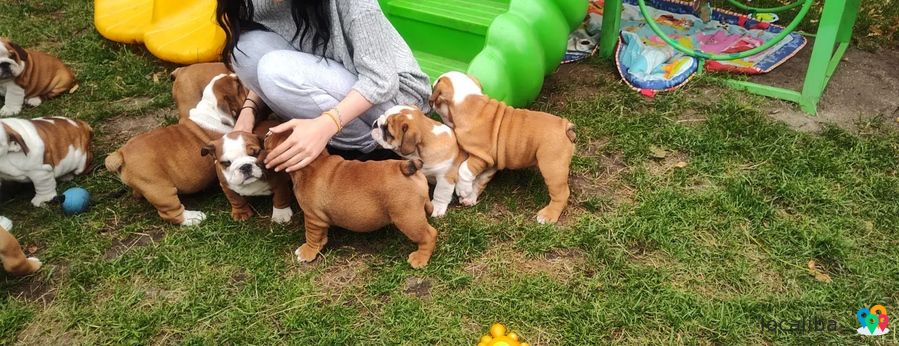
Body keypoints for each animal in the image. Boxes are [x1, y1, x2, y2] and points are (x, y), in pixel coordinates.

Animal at [104, 73, 246, 224]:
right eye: (238, 86)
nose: (236, 75)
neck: (212, 111)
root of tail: (120, 154)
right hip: (160, 189)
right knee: (171, 212)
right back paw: (194, 217)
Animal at [264, 129, 440, 268]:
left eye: (271, 137)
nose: (266, 133)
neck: (315, 162)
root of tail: (405, 168)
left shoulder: (313, 219)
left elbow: (312, 236)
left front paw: (307, 252)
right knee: (428, 208)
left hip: (407, 218)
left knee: (429, 235)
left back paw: (420, 258)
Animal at [428, 72, 576, 224]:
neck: (468, 100)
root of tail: (564, 126)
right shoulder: (492, 163)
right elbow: (480, 179)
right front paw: (470, 196)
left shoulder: (480, 156)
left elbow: (465, 169)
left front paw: (463, 190)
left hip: (552, 167)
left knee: (562, 193)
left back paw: (548, 215)